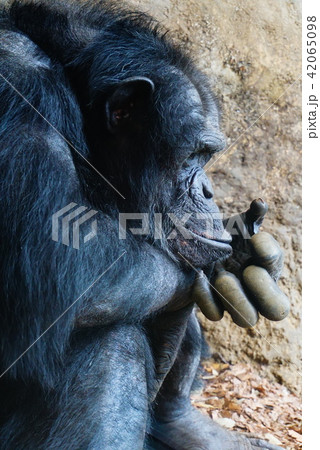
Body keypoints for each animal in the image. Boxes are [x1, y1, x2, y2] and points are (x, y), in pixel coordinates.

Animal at [0, 1, 284, 448]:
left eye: (207, 155)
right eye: (194, 154)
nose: (209, 190)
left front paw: (238, 256)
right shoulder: (20, 83)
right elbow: (53, 250)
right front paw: (196, 288)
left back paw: (179, 418)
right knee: (111, 344)